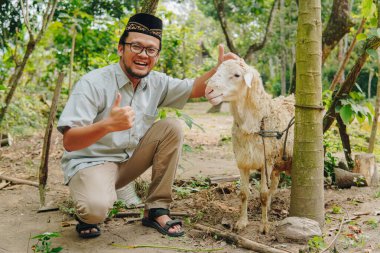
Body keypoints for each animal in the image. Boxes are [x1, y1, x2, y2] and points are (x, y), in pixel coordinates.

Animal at [206, 59, 296, 233]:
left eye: (237, 75)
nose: (208, 90)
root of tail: (292, 97)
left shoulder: (266, 161)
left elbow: (263, 194)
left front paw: (264, 226)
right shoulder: (243, 162)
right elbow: (243, 194)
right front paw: (242, 222)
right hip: (276, 163)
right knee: (275, 184)